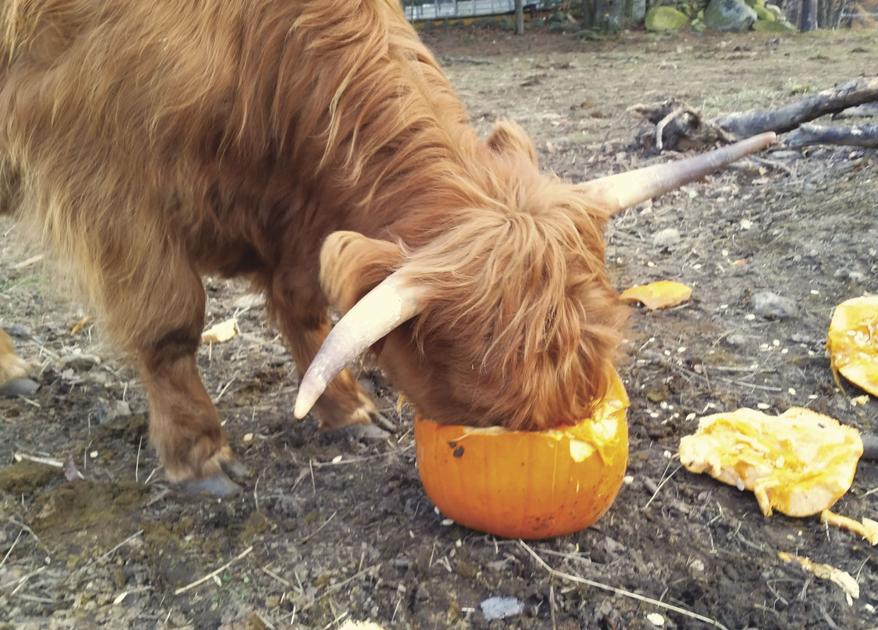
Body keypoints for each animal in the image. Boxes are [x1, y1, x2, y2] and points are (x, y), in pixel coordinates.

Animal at [0, 0, 773, 495]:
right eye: (488, 410)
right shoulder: (108, 182)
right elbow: (168, 322)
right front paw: (199, 458)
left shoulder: (297, 216)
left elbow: (307, 305)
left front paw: (346, 410)